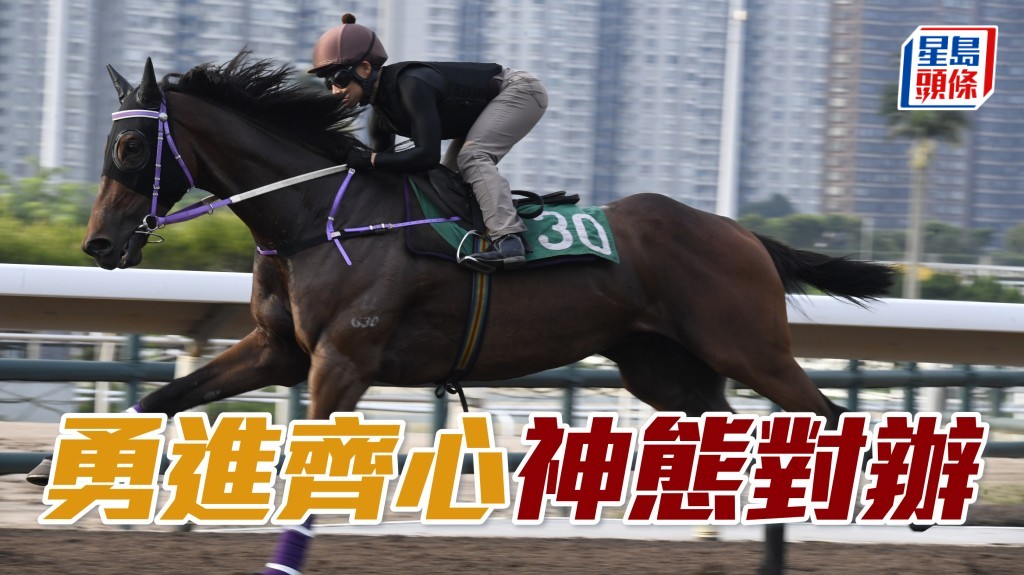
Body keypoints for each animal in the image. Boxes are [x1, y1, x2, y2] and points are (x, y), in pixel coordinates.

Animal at [40, 53, 894, 574]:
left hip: (752, 350)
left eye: (129, 152)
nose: (99, 243)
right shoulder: (279, 349)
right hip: (669, 373)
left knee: (831, 419)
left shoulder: (342, 363)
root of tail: (740, 232)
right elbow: (166, 394)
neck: (315, 215)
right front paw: (62, 463)